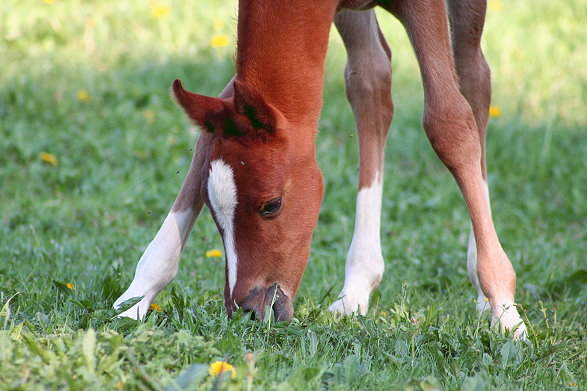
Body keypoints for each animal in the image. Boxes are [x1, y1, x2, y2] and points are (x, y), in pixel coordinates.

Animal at [113, 0, 528, 338]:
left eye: (272, 205)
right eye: (212, 208)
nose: (251, 311)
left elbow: (448, 123)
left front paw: (506, 312)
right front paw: (135, 300)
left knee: (474, 78)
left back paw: (484, 295)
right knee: (370, 78)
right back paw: (357, 287)